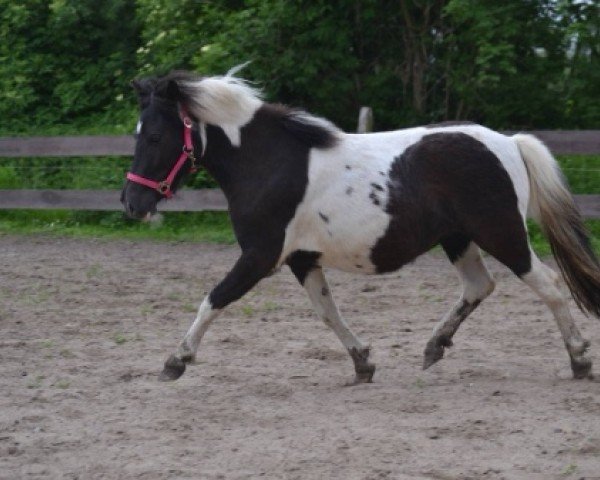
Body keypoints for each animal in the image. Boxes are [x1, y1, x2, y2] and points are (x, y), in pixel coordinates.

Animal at [123, 70, 600, 382]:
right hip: (458, 238)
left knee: (550, 285)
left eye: (154, 137)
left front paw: (175, 362)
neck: (269, 163)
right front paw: (363, 363)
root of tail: (510, 143)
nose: (131, 203)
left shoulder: (260, 256)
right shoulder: (301, 258)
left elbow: (213, 300)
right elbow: (327, 311)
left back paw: (579, 360)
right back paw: (433, 348)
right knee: (479, 286)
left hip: (502, 233)